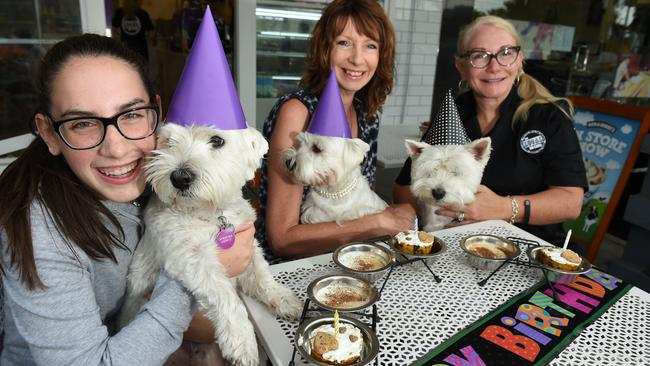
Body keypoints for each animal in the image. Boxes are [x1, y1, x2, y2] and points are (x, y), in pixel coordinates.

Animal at [121, 123, 302, 366]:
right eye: (169, 142)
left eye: (217, 140)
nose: (180, 177)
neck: (211, 214)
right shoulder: (190, 257)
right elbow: (225, 295)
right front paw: (241, 340)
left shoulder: (249, 244)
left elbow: (262, 276)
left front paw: (283, 299)